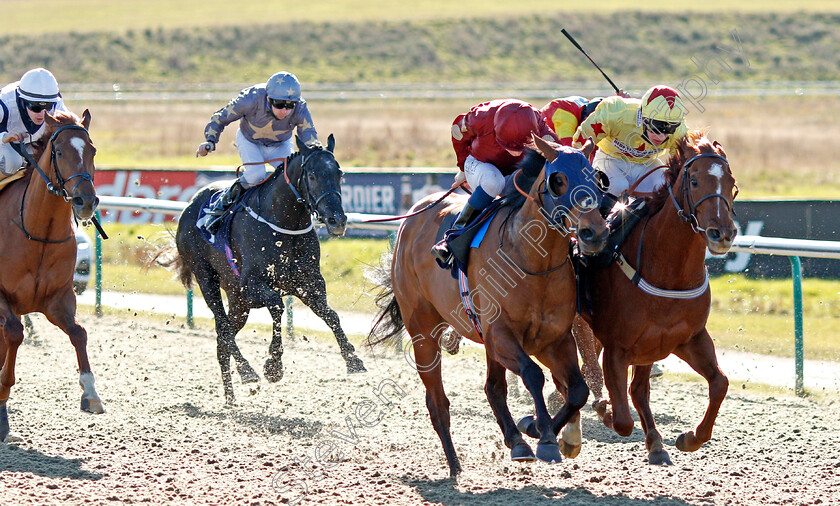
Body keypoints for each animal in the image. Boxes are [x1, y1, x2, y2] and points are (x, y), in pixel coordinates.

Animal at [0, 110, 102, 442]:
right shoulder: (2, 299)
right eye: (58, 152)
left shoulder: (57, 300)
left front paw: (90, 393)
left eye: (91, 150)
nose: (85, 201)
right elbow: (15, 334)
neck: (37, 232)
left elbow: (79, 332)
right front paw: (3, 387)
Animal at [167, 136, 364, 406]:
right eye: (312, 175)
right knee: (223, 328)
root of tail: (189, 206)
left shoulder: (308, 284)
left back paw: (230, 397)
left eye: (339, 173)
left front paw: (353, 360)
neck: (284, 223)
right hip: (206, 277)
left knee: (222, 337)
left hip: (237, 301)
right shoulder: (252, 286)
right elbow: (277, 306)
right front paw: (273, 366)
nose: (337, 221)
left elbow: (331, 315)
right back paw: (246, 371)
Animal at [370, 140, 608, 476]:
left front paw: (537, 430)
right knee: (438, 402)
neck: (533, 262)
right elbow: (533, 375)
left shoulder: (552, 340)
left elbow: (577, 390)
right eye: (558, 180)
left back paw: (516, 441)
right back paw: (455, 466)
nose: (593, 232)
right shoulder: (501, 335)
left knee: (493, 388)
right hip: (423, 332)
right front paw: (545, 437)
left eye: (595, 178)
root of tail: (414, 214)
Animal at [520, 131, 740, 466]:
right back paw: (567, 430)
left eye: (731, 182)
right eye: (694, 182)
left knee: (624, 387)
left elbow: (719, 383)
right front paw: (605, 410)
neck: (668, 272)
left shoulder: (686, 338)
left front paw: (687, 438)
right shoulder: (618, 347)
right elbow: (621, 417)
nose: (722, 233)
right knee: (575, 377)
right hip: (572, 325)